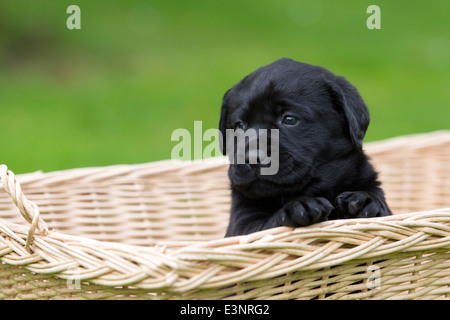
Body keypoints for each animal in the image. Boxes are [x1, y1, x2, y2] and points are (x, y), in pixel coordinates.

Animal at [220, 58, 392, 238]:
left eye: (290, 119)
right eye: (239, 125)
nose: (253, 158)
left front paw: (366, 202)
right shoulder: (242, 227)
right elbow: (267, 226)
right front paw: (300, 206)